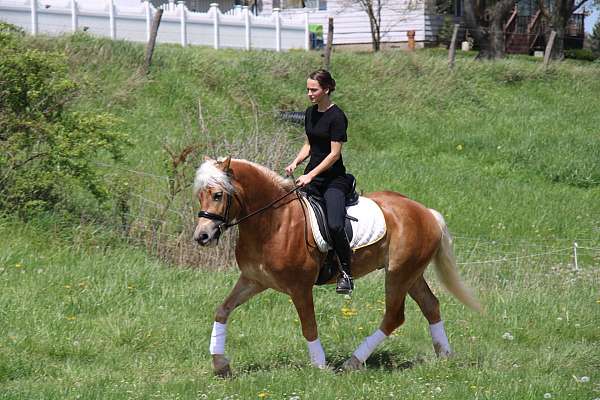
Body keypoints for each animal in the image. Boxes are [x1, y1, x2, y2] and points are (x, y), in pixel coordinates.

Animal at [195, 155, 480, 376]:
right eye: (200, 196)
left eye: (218, 195)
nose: (202, 236)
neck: (274, 221)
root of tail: (426, 212)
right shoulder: (254, 280)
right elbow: (222, 311)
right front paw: (220, 364)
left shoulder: (300, 287)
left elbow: (309, 325)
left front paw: (320, 366)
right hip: (411, 273)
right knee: (430, 305)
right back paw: (445, 356)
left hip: (399, 274)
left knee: (394, 316)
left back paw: (352, 362)